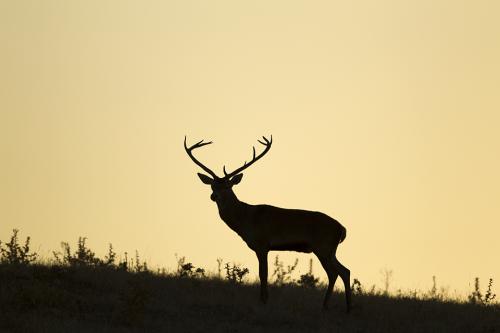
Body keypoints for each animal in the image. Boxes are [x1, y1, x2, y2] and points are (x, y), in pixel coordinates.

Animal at [184, 135, 352, 312]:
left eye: (228, 186)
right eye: (212, 185)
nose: (214, 196)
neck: (246, 219)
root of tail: (342, 229)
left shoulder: (262, 244)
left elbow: (262, 273)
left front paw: (263, 301)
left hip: (323, 247)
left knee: (335, 272)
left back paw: (330, 305)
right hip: (329, 250)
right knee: (344, 271)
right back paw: (345, 307)